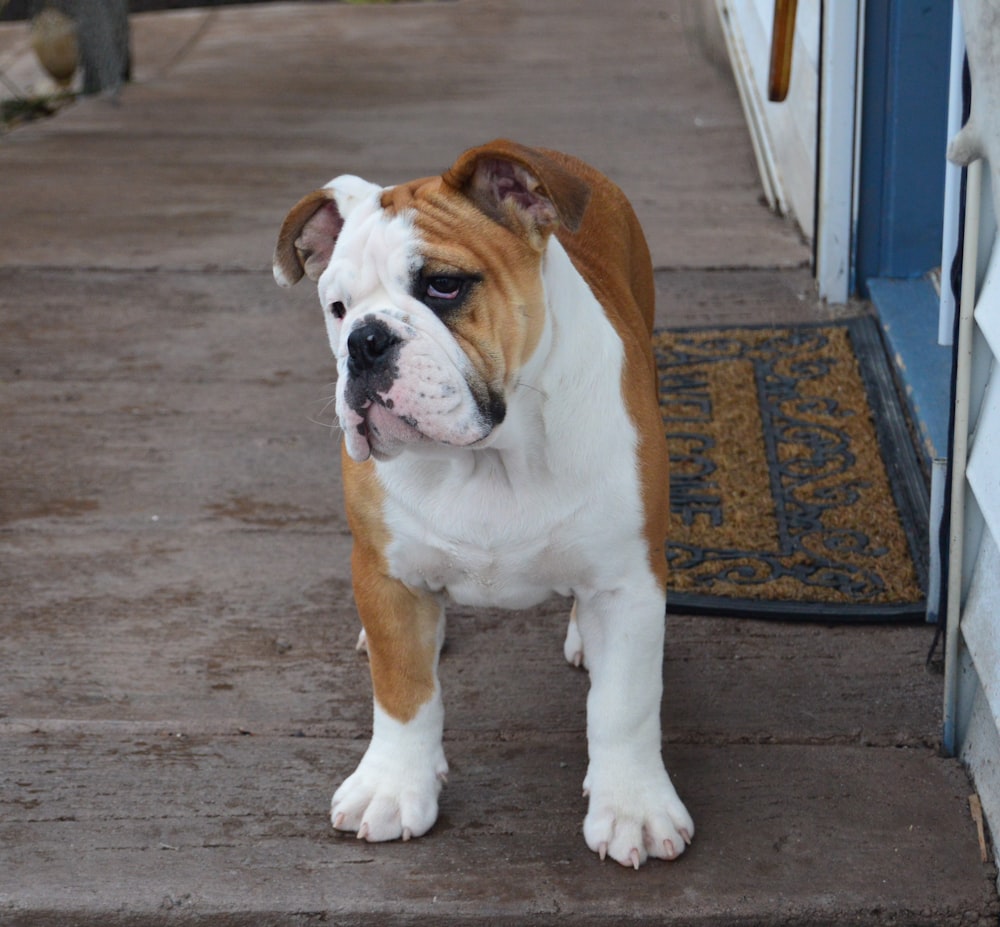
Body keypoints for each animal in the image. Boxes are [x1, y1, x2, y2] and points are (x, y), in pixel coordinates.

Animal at [274, 140, 696, 872]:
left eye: (444, 287)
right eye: (337, 308)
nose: (364, 340)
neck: (491, 454)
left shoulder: (629, 579)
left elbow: (625, 705)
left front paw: (633, 807)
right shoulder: (385, 573)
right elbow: (404, 693)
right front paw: (394, 785)